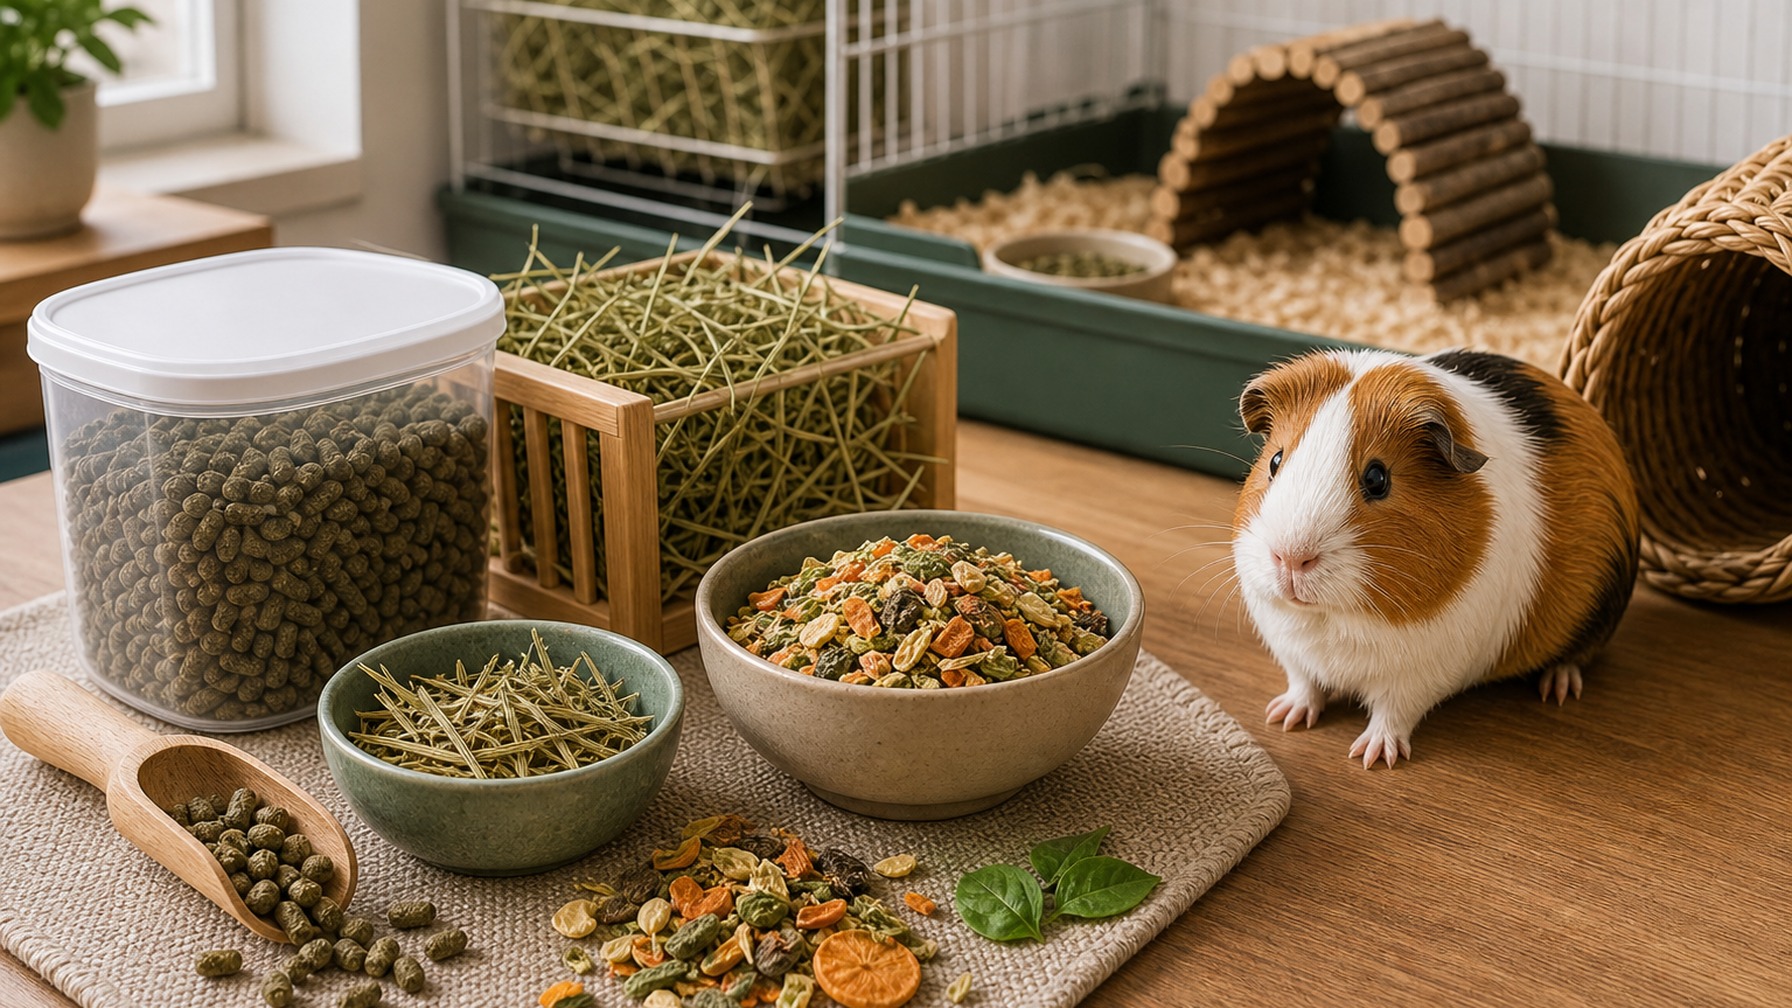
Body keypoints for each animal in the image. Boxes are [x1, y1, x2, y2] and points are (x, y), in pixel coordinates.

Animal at [1230, 348, 1639, 768]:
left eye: (1377, 479)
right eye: (1275, 461)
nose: (1291, 558)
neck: (1333, 619)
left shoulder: (1416, 677)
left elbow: (1392, 714)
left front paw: (1374, 757)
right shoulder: (1294, 655)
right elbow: (1305, 686)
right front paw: (1283, 717)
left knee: (1576, 657)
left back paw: (1557, 689)